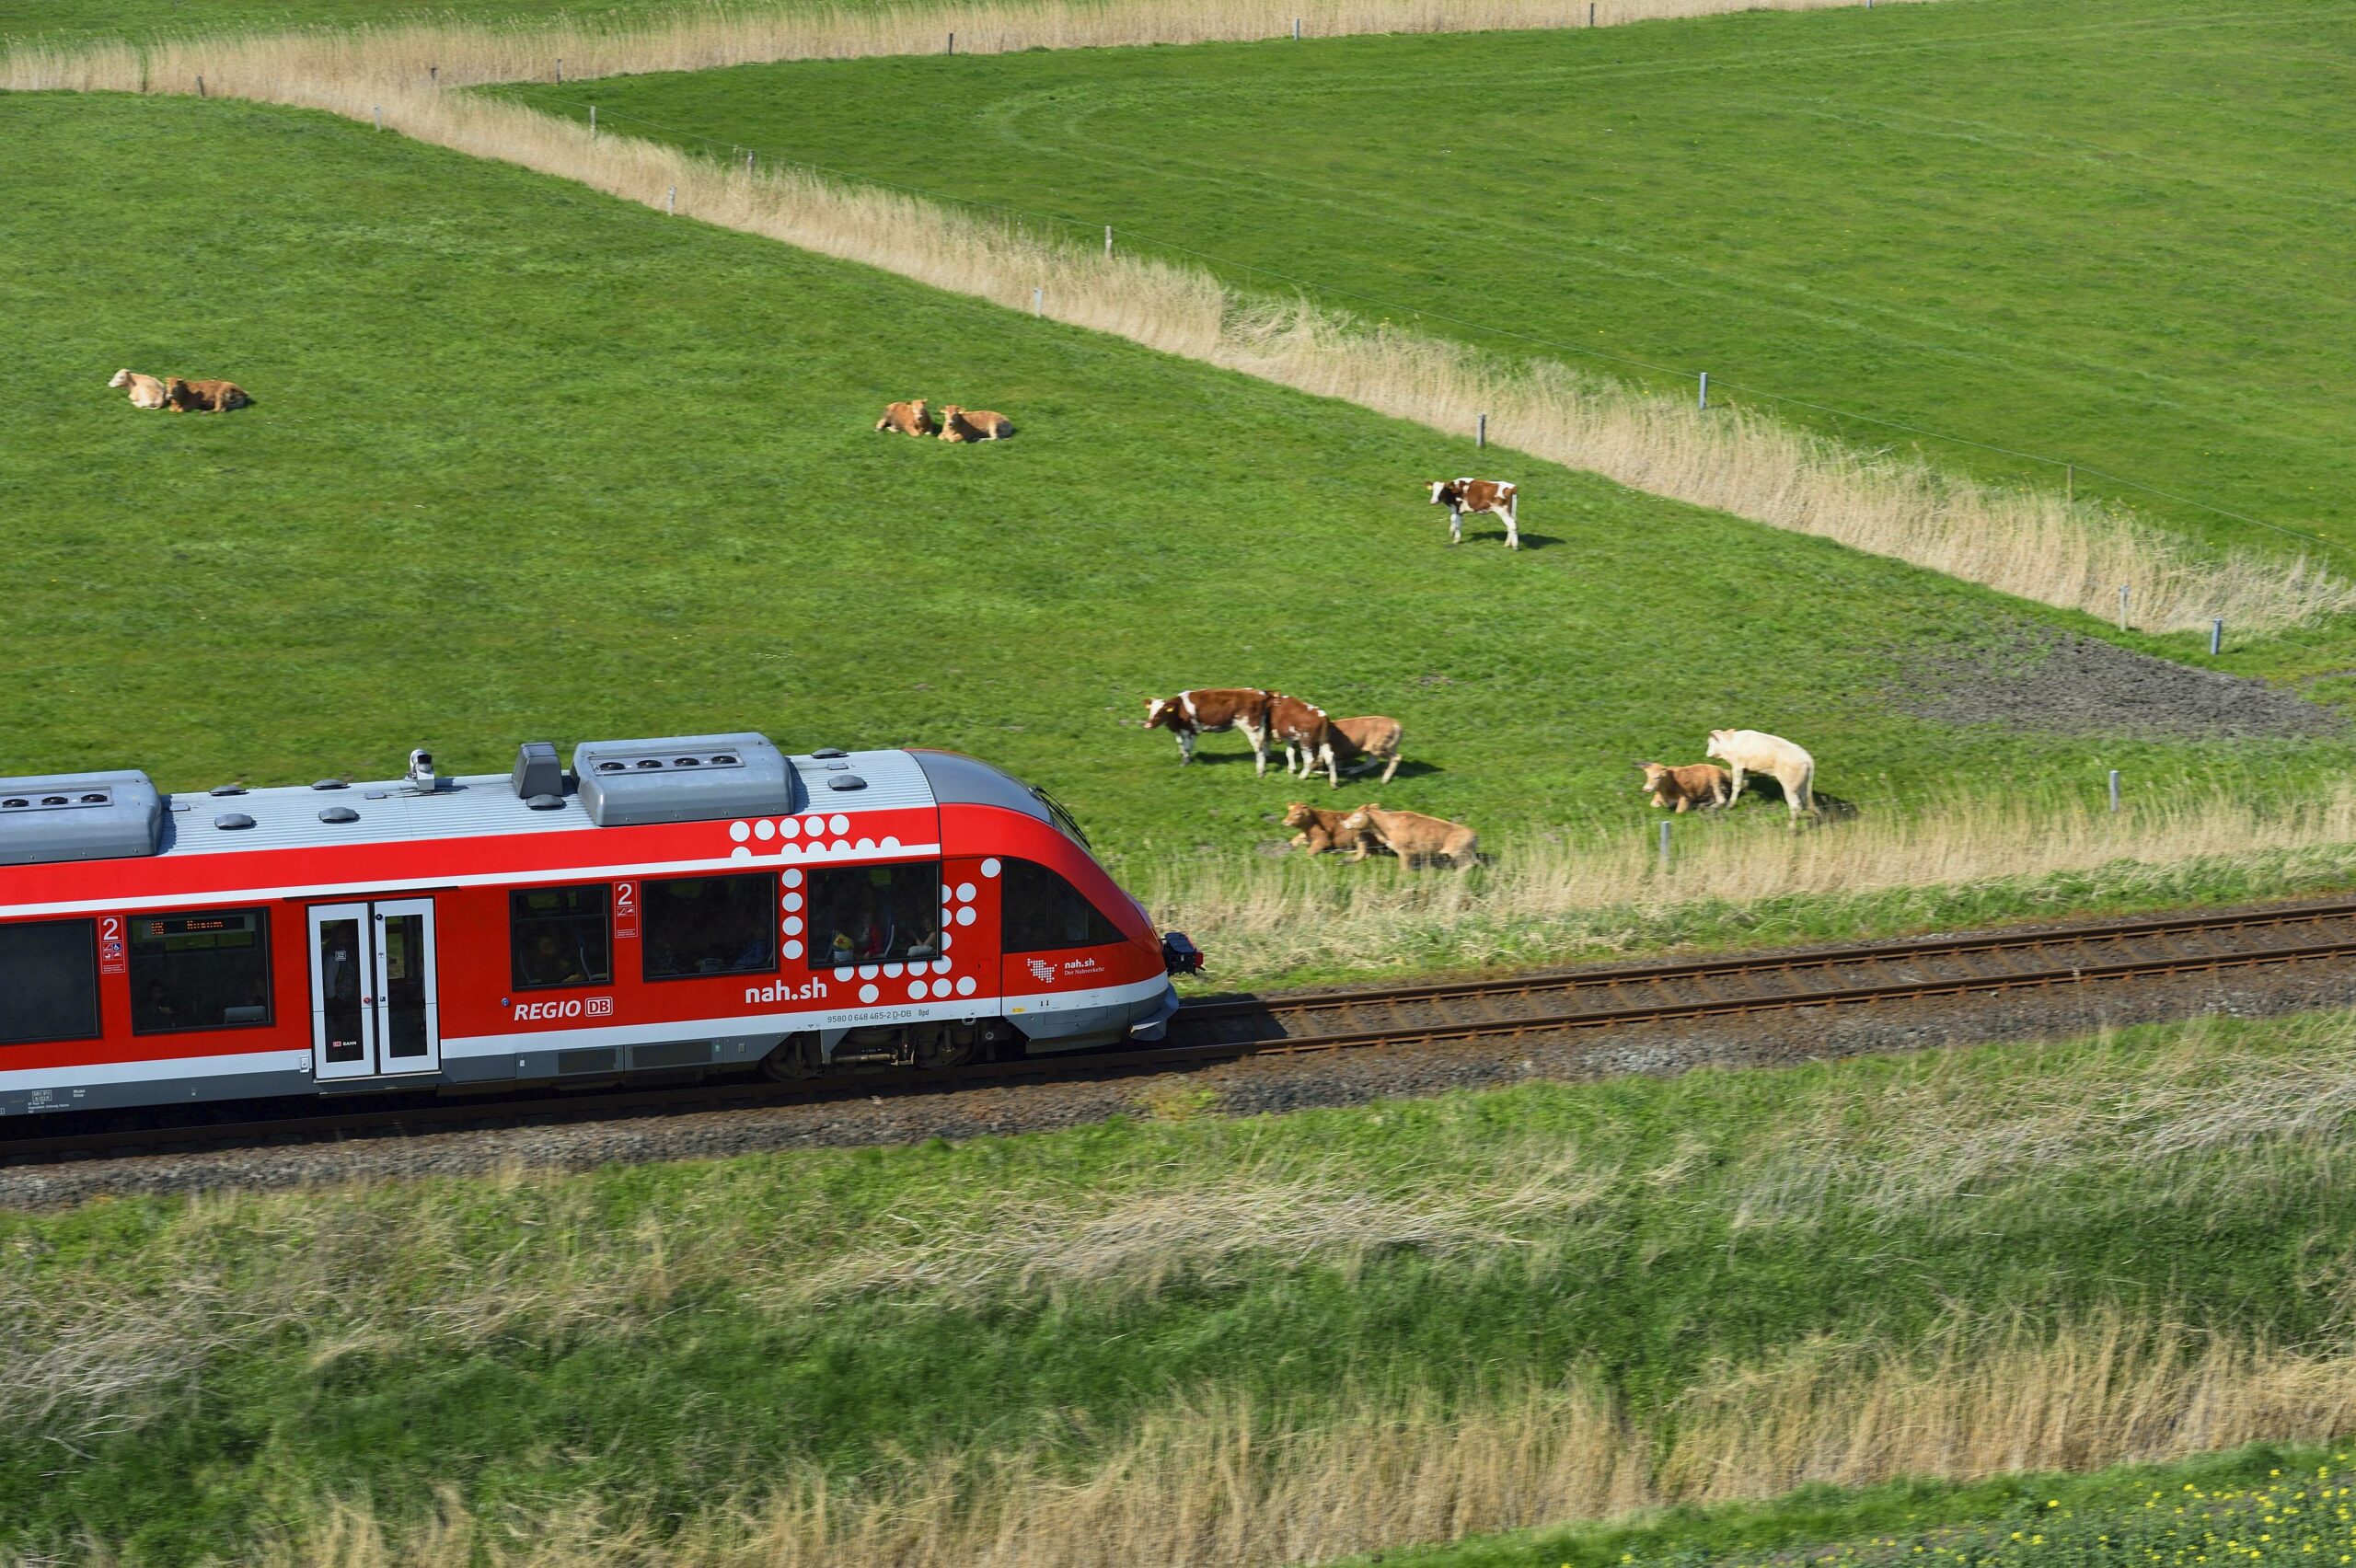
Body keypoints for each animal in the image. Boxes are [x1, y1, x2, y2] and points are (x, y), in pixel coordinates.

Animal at [1140, 692, 1272, 777]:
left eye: (1161, 711)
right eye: (1150, 710)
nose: (1147, 725)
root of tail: (1260, 694)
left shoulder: (1190, 731)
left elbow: (1187, 749)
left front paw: (1184, 764)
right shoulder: (1180, 731)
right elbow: (1181, 747)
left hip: (1251, 728)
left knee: (1259, 747)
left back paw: (1260, 772)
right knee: (1265, 742)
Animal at [1338, 805, 1479, 866]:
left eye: (1357, 816)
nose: (1344, 823)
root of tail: (1474, 833)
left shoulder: (1404, 852)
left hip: (1458, 853)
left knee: (1468, 864)